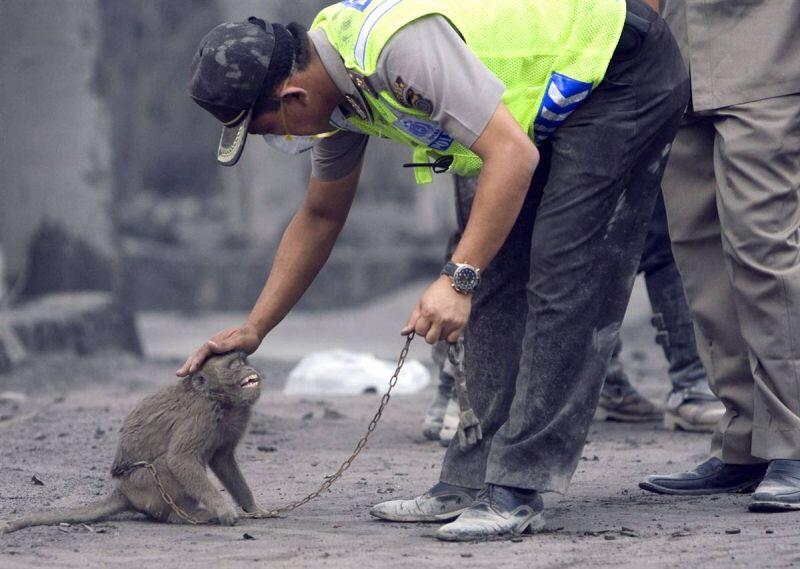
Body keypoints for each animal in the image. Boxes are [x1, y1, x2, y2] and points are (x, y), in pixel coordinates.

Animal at [0, 350, 268, 532]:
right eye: (234, 365)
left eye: (242, 361)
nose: (248, 369)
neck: (220, 400)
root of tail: (124, 491)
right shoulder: (200, 416)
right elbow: (180, 459)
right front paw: (223, 509)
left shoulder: (239, 415)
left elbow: (223, 459)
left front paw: (253, 508)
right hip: (144, 484)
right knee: (164, 465)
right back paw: (179, 516)